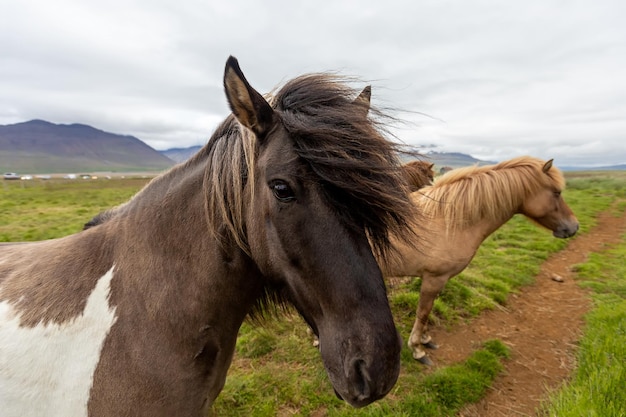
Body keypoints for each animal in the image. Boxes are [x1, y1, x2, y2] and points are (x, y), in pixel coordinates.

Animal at [388, 156, 576, 364]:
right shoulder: (434, 279)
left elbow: (426, 312)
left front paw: (425, 339)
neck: (446, 220)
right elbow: (423, 312)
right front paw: (417, 349)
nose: (574, 226)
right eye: (557, 192)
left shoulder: (435, 280)